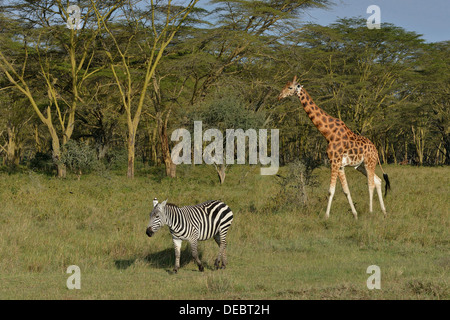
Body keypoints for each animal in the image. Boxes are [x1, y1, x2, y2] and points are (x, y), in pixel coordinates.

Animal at [276, 76, 388, 219]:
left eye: (290, 87)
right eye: (285, 85)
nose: (279, 96)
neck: (328, 134)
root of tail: (376, 150)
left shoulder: (334, 162)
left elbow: (331, 190)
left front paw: (326, 216)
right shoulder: (339, 165)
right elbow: (346, 191)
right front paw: (355, 214)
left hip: (370, 162)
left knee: (371, 184)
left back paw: (371, 212)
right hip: (360, 166)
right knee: (378, 181)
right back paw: (384, 212)